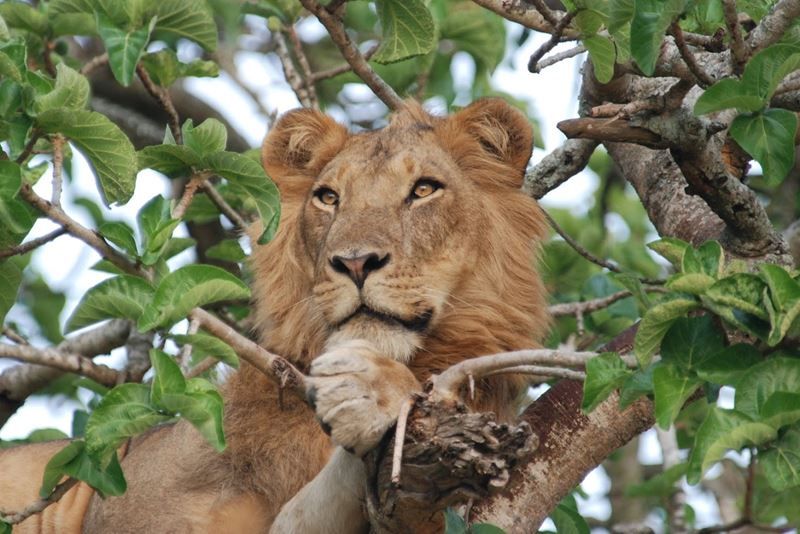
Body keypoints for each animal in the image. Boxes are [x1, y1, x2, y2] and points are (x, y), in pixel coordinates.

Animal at [1, 98, 548, 533]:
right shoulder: (130, 513)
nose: (355, 262)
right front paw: (369, 390)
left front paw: (369, 393)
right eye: (328, 197)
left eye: (424, 190)